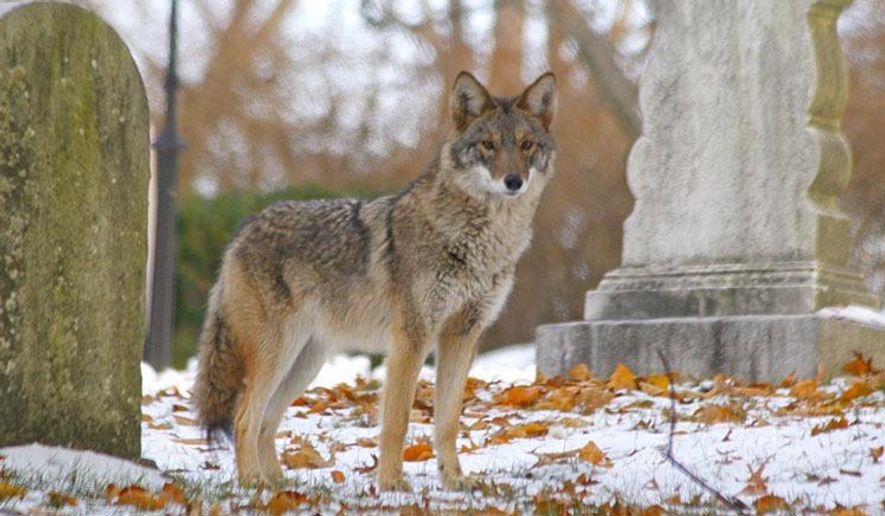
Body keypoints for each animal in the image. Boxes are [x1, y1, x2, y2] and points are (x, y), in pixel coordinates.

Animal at [191, 71, 557, 490]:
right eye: (488, 145)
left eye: (526, 145)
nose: (513, 181)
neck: (479, 240)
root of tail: (242, 231)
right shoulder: (411, 340)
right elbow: (396, 422)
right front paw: (392, 485)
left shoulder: (463, 336)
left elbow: (448, 423)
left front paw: (454, 481)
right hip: (277, 355)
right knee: (244, 419)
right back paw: (256, 484)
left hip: (305, 363)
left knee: (266, 423)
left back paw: (283, 485)